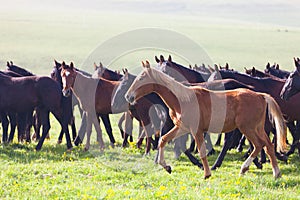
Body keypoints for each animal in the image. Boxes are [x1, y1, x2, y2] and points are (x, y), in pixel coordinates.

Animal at [125, 60, 288, 178]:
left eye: (142, 78)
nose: (128, 96)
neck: (182, 99)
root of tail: (261, 95)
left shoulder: (196, 130)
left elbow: (201, 151)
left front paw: (206, 173)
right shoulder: (181, 127)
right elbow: (163, 140)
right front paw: (167, 167)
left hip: (247, 128)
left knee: (258, 145)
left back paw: (245, 168)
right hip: (257, 128)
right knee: (268, 145)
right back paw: (275, 173)